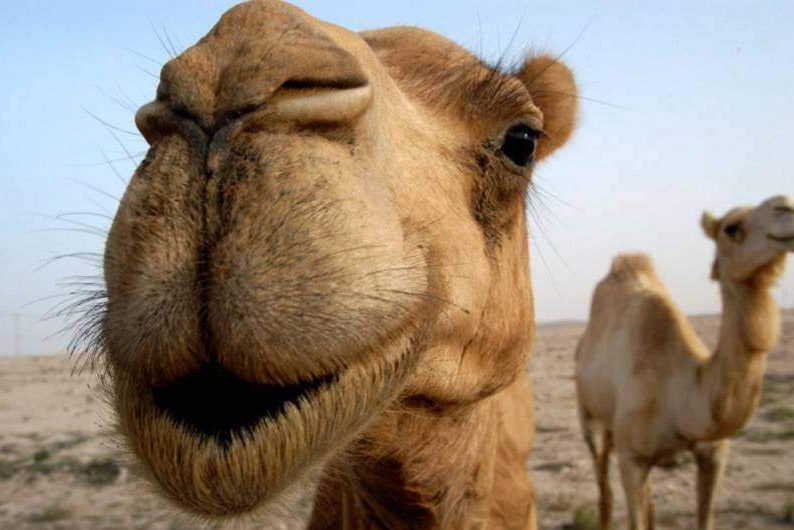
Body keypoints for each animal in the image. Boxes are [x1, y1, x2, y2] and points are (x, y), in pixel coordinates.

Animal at [575, 195, 794, 530]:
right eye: (731, 227)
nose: (786, 205)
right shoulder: (631, 459)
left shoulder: (715, 454)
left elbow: (704, 518)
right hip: (591, 418)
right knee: (605, 490)